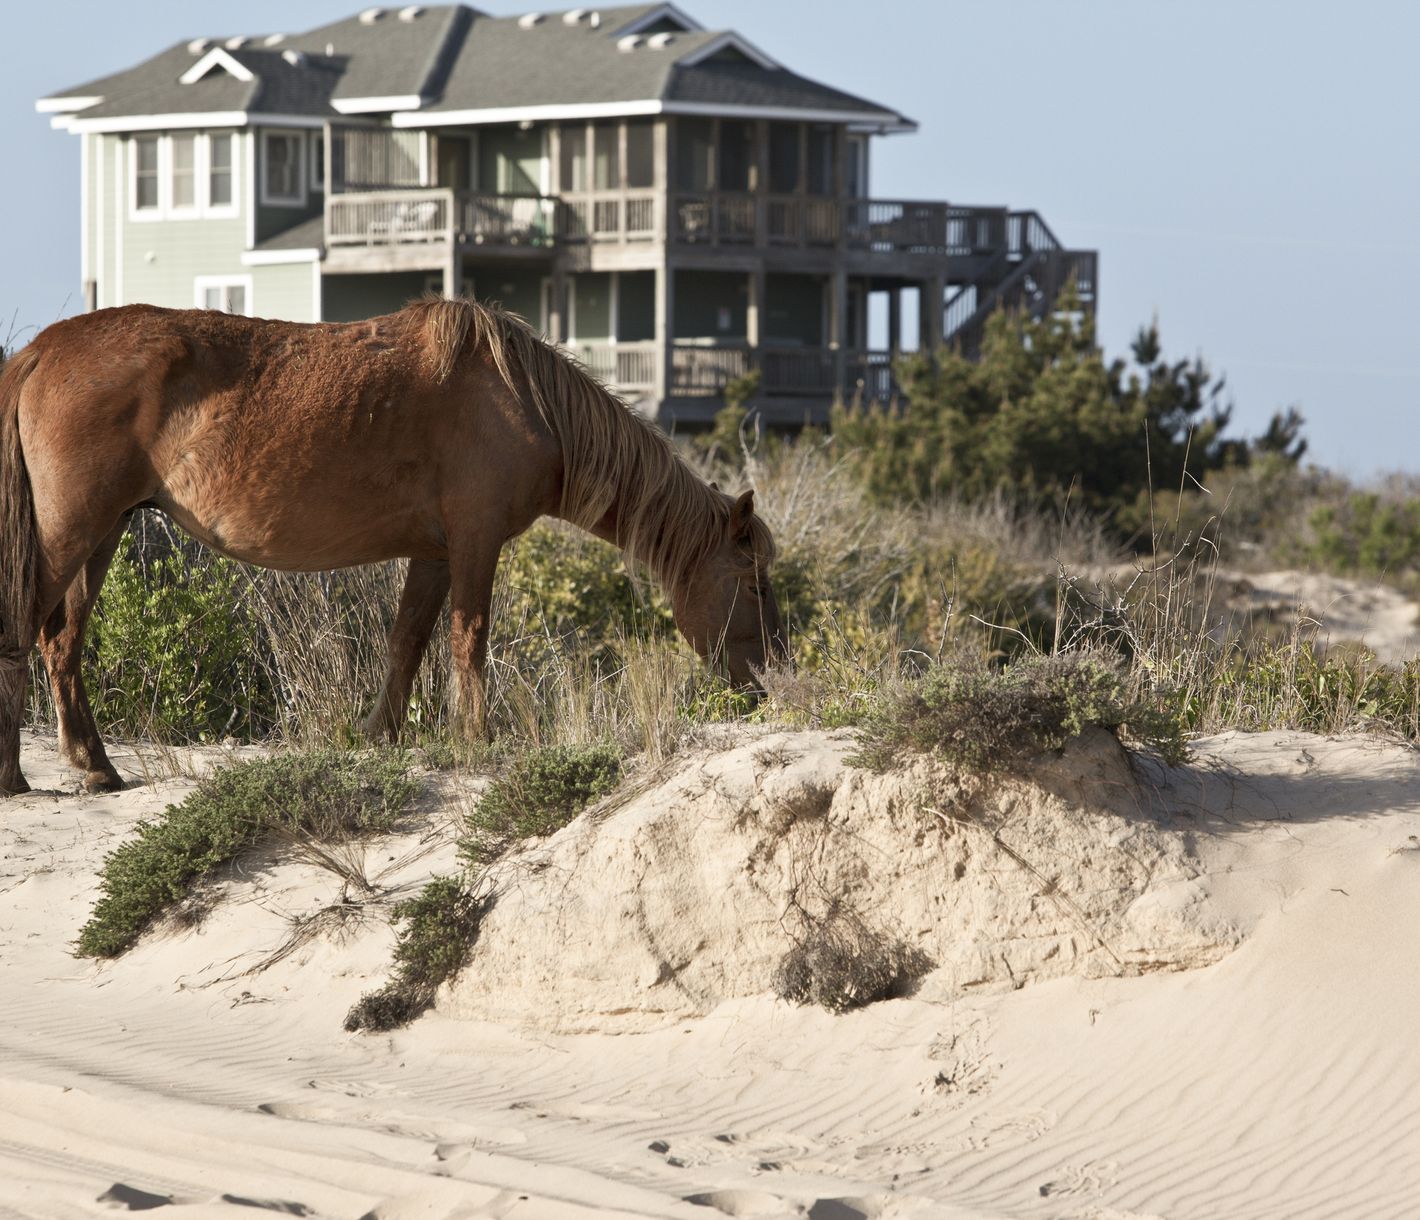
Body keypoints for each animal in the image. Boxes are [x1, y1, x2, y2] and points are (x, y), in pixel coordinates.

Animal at [0, 298, 786, 796]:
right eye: (754, 582)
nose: (771, 676)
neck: (524, 399)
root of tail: (41, 351)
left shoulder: (434, 553)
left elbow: (408, 641)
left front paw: (381, 734)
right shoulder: (474, 541)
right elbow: (468, 637)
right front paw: (476, 738)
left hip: (104, 534)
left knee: (60, 640)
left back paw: (95, 766)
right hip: (71, 533)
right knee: (26, 626)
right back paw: (16, 776)